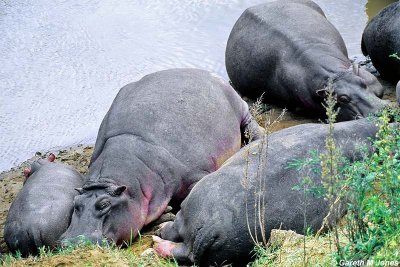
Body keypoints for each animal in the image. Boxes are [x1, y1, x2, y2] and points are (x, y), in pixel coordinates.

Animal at [59, 68, 264, 247]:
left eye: (105, 204)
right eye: (76, 204)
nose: (74, 242)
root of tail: (201, 71)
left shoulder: (194, 175)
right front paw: (166, 213)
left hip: (238, 105)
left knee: (249, 122)